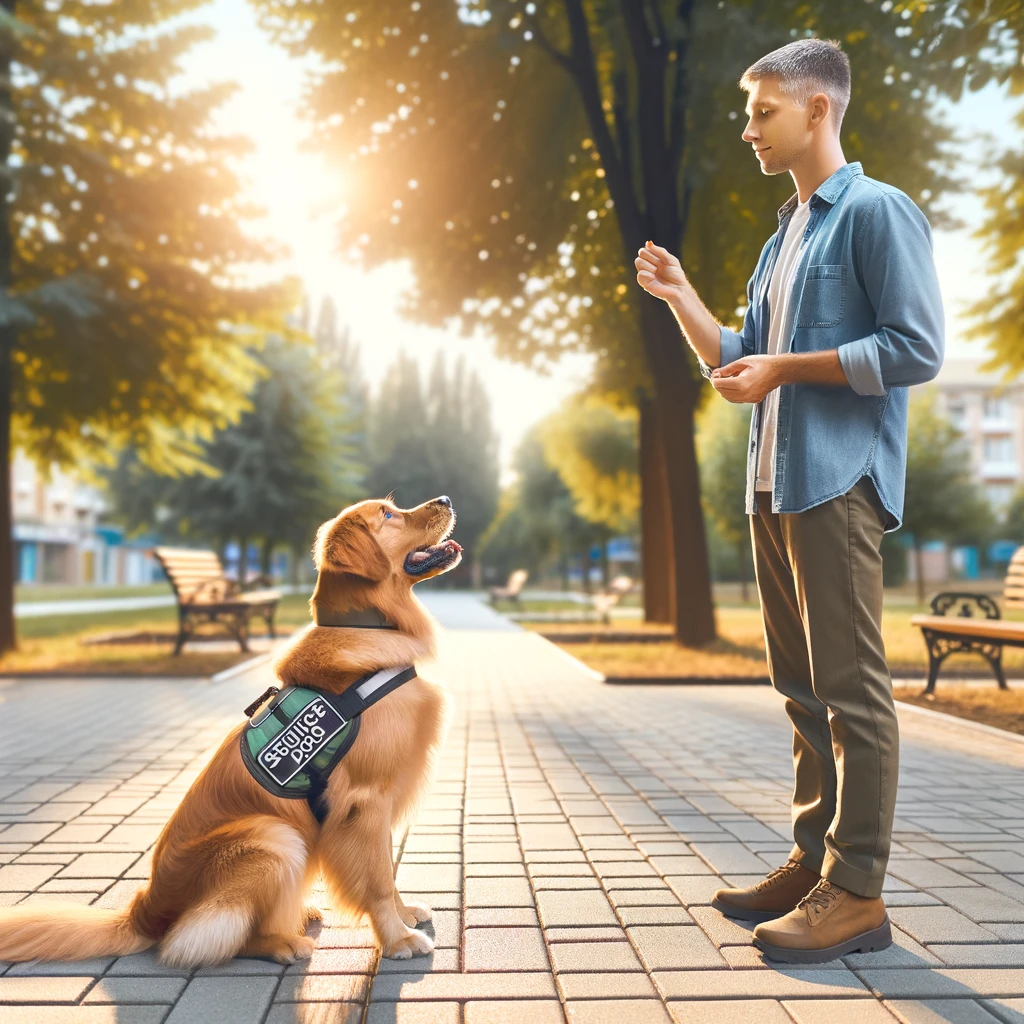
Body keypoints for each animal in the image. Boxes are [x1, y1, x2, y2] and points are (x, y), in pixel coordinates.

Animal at [0, 495, 460, 966]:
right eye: (387, 514)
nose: (445, 499)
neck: (368, 627)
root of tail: (142, 913)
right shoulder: (363, 801)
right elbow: (377, 880)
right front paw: (397, 939)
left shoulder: (379, 802)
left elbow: (387, 865)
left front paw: (404, 914)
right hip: (273, 837)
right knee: (209, 940)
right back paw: (284, 942)